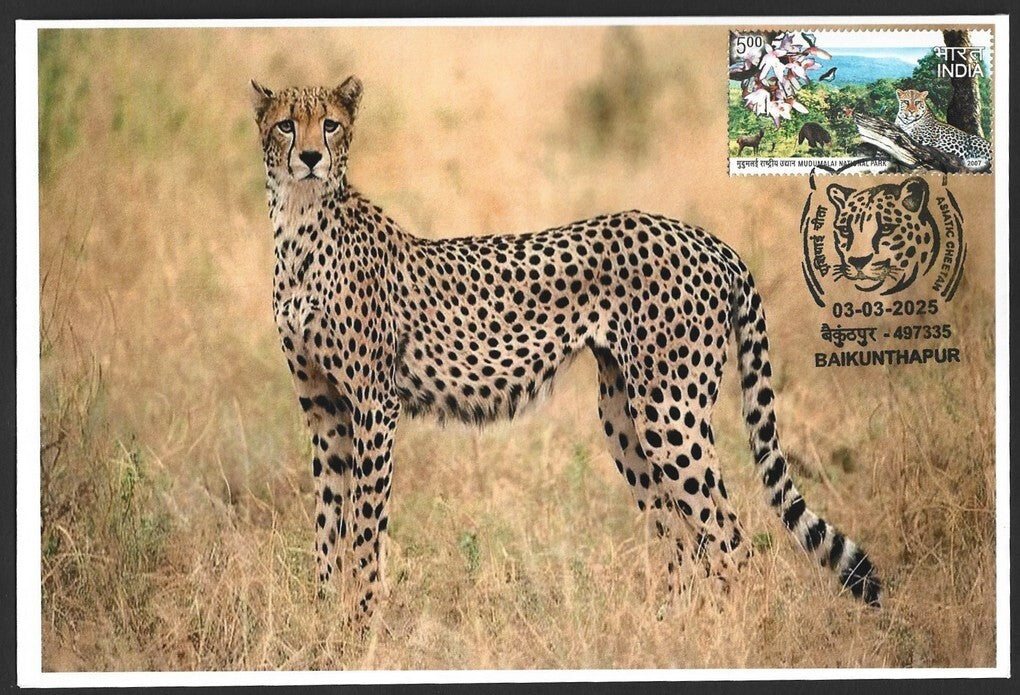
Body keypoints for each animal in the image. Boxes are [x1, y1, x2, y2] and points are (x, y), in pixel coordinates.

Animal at [251, 76, 882, 623]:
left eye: (330, 125)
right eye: (286, 125)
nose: (311, 157)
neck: (301, 227)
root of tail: (706, 238)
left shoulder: (373, 406)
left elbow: (363, 525)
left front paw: (362, 623)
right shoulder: (326, 412)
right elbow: (326, 520)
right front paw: (322, 616)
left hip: (670, 413)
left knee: (726, 534)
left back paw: (732, 630)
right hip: (624, 414)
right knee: (682, 535)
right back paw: (668, 627)